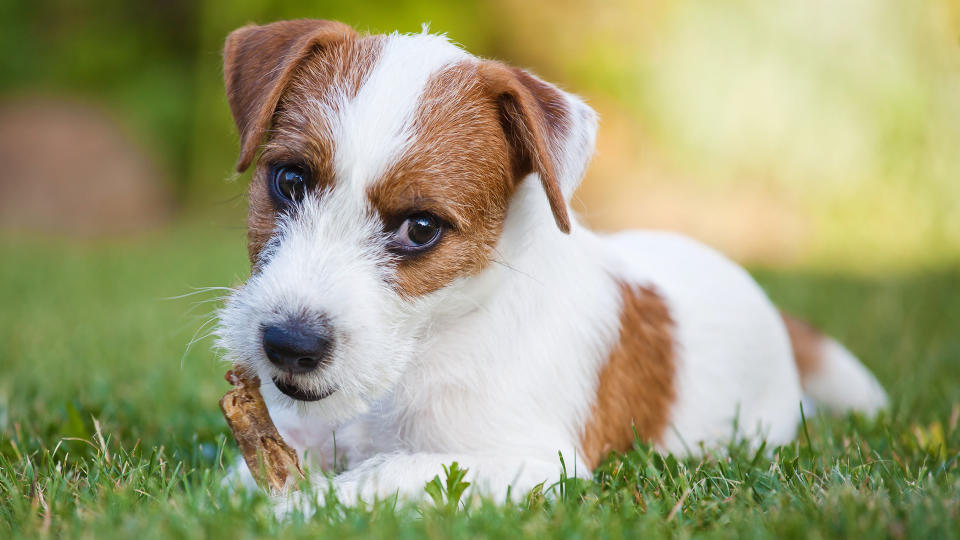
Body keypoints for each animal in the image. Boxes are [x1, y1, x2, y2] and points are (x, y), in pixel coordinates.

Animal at [214, 17, 888, 506]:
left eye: (421, 228)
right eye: (290, 180)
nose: (288, 343)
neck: (424, 351)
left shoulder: (531, 462)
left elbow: (388, 474)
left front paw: (302, 508)